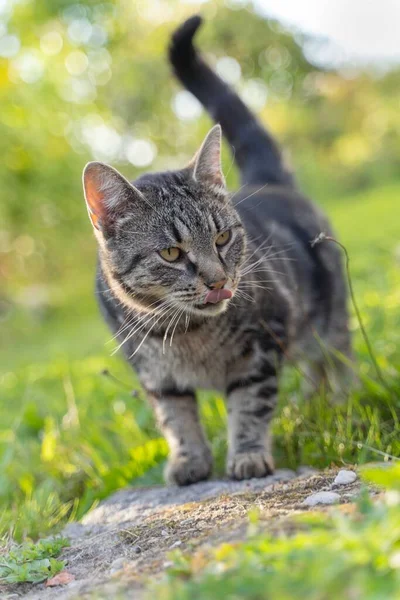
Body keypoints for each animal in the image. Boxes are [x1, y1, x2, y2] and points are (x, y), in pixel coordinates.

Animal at [82, 15, 350, 488]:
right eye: (171, 254)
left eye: (222, 238)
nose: (218, 280)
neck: (186, 334)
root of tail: (270, 181)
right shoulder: (153, 372)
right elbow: (175, 417)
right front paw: (189, 460)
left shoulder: (262, 345)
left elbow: (250, 405)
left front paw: (247, 455)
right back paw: (312, 403)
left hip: (328, 316)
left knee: (335, 358)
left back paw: (340, 400)